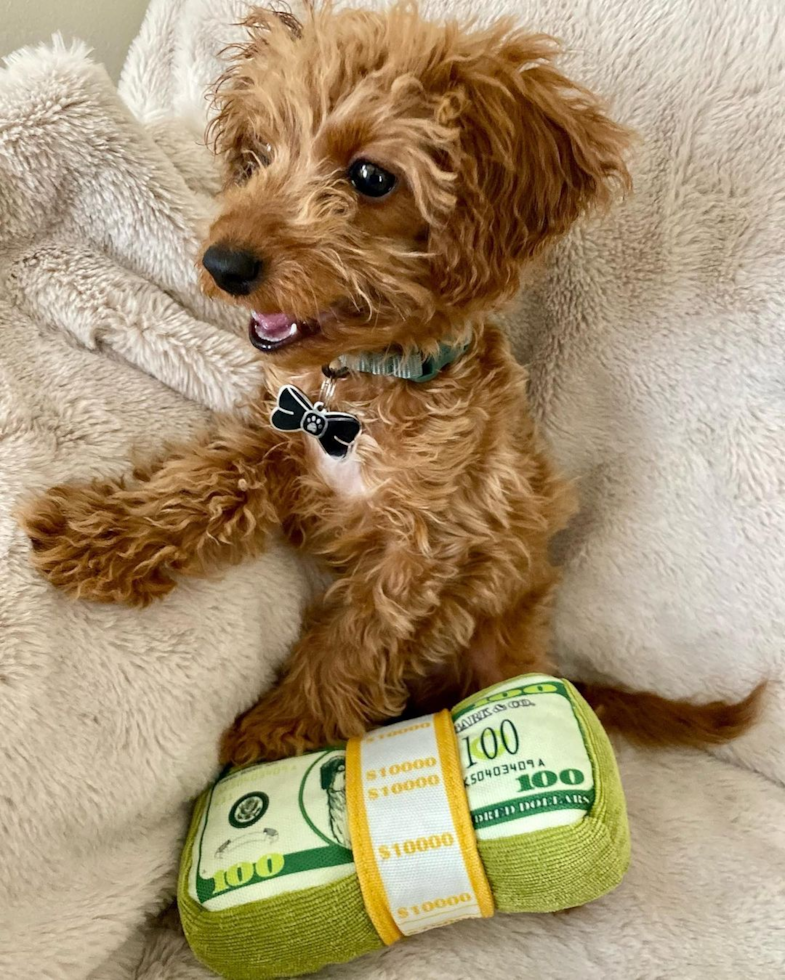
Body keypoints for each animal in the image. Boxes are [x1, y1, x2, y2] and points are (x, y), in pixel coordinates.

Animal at [23, 1, 760, 764]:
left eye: (371, 178)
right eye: (260, 155)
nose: (223, 264)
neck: (361, 393)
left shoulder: (432, 550)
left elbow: (357, 642)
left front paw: (275, 738)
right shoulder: (279, 433)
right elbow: (201, 480)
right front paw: (101, 535)